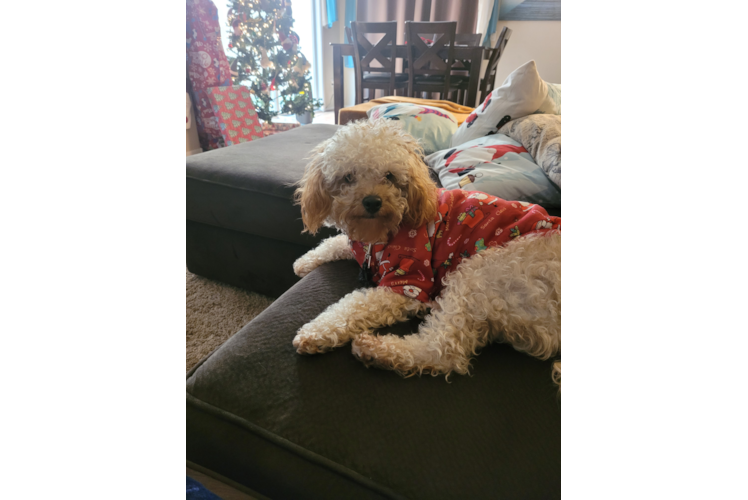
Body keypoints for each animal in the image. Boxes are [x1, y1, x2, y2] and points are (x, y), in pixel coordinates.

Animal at [292, 119, 560, 388]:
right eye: (348, 177)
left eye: (389, 176)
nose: (372, 202)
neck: (383, 230)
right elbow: (335, 242)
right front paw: (304, 261)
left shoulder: (409, 281)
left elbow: (354, 305)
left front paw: (315, 331)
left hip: (479, 273)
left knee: (444, 351)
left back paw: (375, 349)